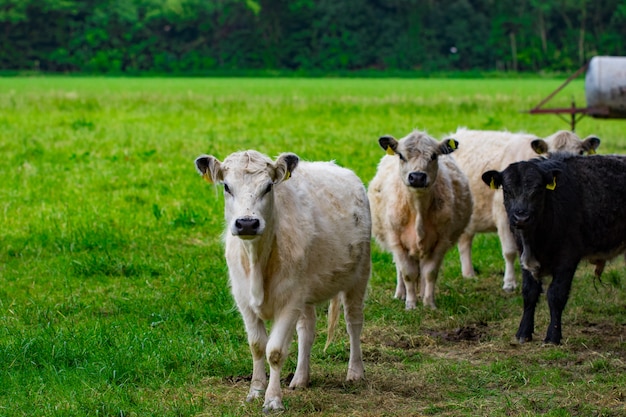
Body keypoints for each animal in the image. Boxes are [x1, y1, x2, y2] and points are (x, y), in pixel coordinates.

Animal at [195, 150, 370, 410]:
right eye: (226, 186)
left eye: (268, 187)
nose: (247, 223)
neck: (258, 262)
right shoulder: (245, 301)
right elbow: (257, 346)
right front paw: (255, 390)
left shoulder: (289, 302)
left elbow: (275, 351)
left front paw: (272, 400)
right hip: (305, 293)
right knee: (307, 329)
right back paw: (300, 378)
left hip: (359, 275)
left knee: (353, 322)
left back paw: (355, 372)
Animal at [368, 130, 470, 308]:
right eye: (401, 155)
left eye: (434, 156)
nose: (417, 177)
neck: (417, 210)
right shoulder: (396, 241)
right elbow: (407, 273)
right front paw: (410, 304)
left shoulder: (441, 241)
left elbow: (430, 273)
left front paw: (429, 303)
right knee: (400, 270)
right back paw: (401, 294)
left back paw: (421, 293)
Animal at [448, 128, 600, 290]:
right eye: (549, 153)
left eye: (581, 152)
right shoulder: (504, 217)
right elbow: (509, 252)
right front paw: (509, 283)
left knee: (465, 240)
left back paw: (468, 274)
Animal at [482, 154, 626, 342]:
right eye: (506, 190)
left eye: (538, 190)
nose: (521, 217)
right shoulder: (523, 256)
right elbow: (529, 293)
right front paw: (523, 332)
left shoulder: (568, 257)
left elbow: (556, 295)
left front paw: (553, 335)